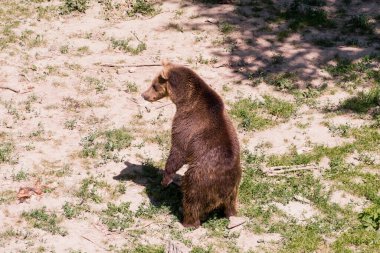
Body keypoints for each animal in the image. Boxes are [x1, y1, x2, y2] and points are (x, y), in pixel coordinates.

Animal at [141, 60, 242, 227]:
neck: (184, 100)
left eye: (154, 84)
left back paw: (186, 220)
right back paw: (231, 213)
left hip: (200, 179)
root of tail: (223, 190)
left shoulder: (187, 124)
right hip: (235, 184)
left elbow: (178, 150)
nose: (143, 95)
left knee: (192, 199)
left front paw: (165, 179)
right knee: (231, 203)